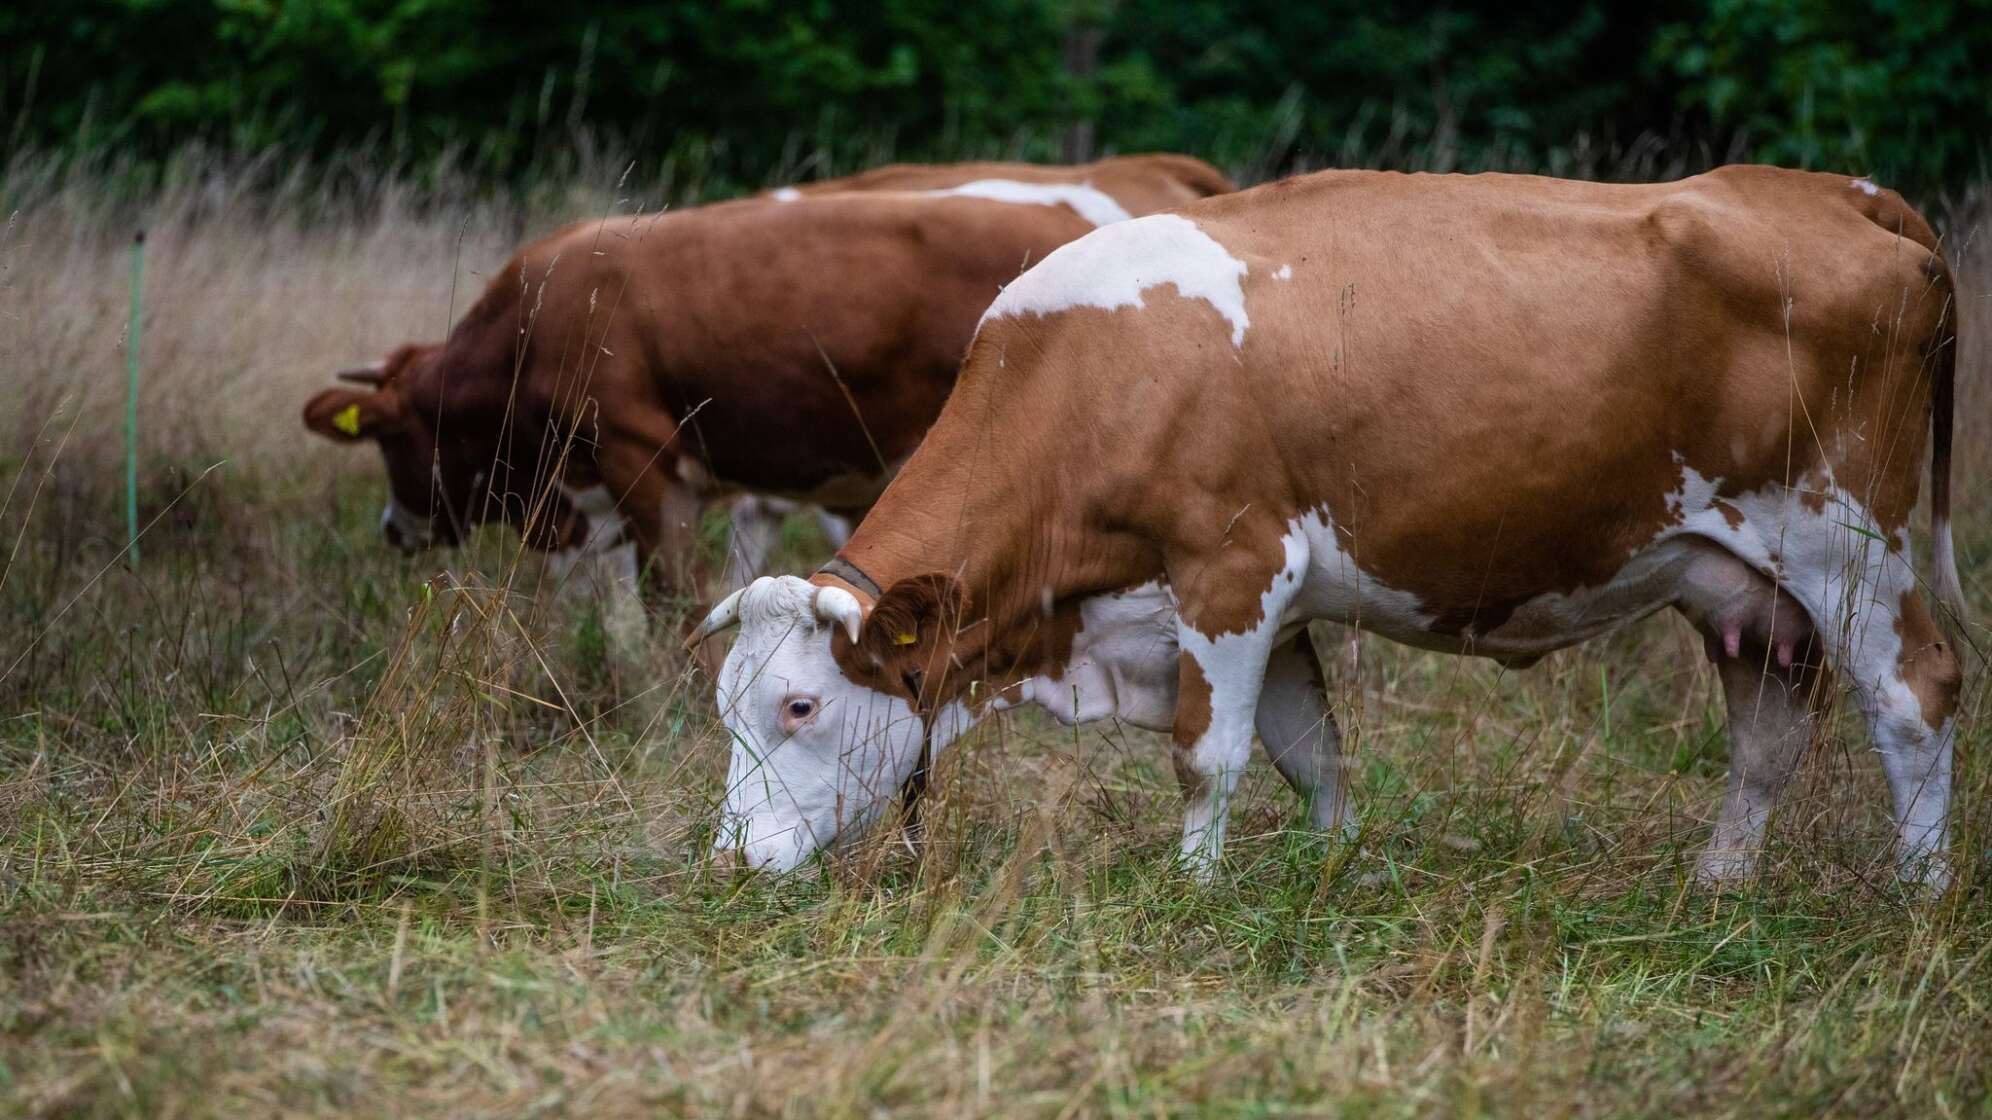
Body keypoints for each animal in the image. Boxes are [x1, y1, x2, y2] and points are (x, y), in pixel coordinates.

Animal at [693, 165, 1968, 884]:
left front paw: (1195, 895)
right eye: (724, 709)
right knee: (1765, 740)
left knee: (1916, 694)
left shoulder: (1231, 569)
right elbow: (1309, 752)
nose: (732, 862)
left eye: (797, 704)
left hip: (1851, 542)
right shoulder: (1272, 608)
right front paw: (1330, 870)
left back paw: (1919, 893)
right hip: (1747, 589)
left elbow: (1206, 756)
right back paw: (1718, 886)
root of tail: (1832, 191)